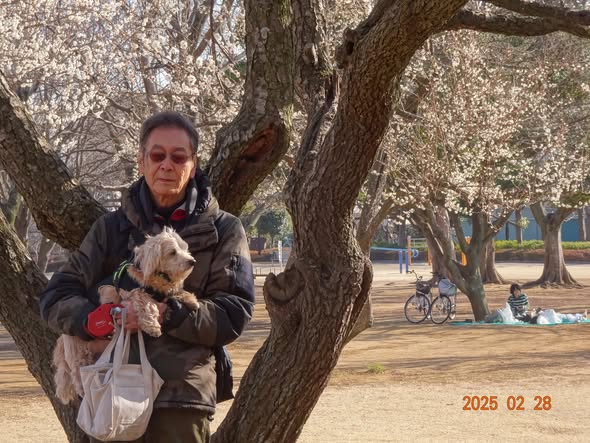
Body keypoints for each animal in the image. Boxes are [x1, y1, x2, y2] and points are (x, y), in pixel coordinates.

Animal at [53, 227, 198, 404]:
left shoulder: (161, 290)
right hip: (79, 354)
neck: (157, 275)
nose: (192, 261)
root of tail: (63, 337)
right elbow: (145, 301)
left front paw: (190, 298)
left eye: (185, 249)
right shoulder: (130, 293)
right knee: (77, 374)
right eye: (172, 252)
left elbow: (172, 292)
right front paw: (152, 325)